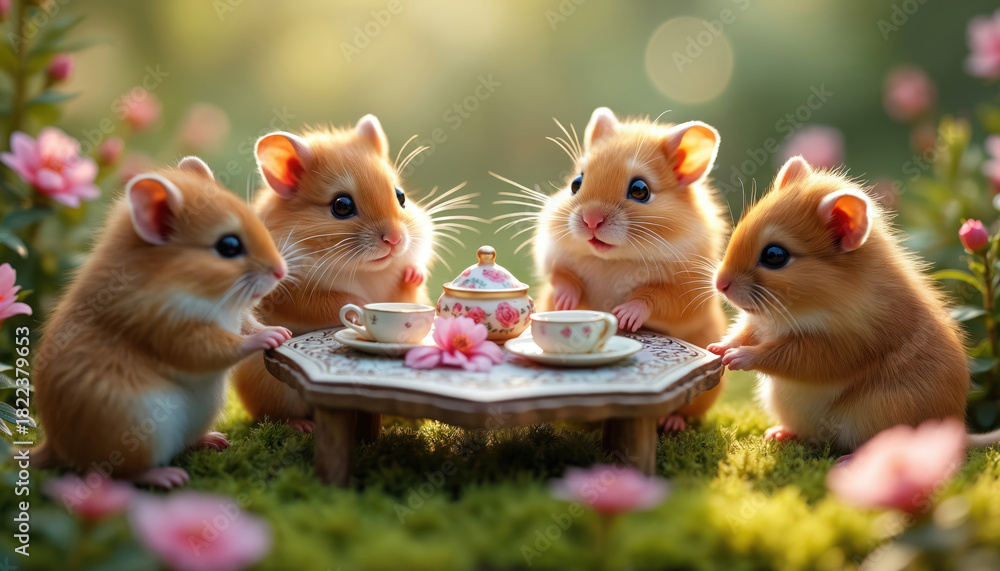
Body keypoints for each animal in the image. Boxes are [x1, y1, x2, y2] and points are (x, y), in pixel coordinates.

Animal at [32, 157, 291, 488]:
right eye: (229, 246)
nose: (281, 271)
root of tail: (55, 447)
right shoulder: (174, 334)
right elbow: (226, 346)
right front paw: (267, 338)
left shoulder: (238, 316)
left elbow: (251, 325)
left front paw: (281, 332)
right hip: (139, 430)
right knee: (114, 473)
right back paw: (165, 476)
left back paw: (211, 441)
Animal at [233, 115, 466, 431]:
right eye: (341, 205)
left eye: (401, 196)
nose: (394, 239)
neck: (362, 269)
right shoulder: (290, 294)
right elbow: (332, 301)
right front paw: (360, 306)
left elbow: (408, 290)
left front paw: (413, 273)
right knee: (274, 415)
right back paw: (303, 425)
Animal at [526, 107, 730, 430]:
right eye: (576, 183)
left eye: (640, 190)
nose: (591, 221)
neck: (614, 259)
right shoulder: (556, 259)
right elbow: (563, 278)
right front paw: (564, 303)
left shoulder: (686, 295)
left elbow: (654, 298)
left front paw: (623, 316)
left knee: (685, 410)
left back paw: (671, 423)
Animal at [707, 156, 999, 452]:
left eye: (775, 255)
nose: (720, 284)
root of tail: (960, 433)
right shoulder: (758, 324)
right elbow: (742, 334)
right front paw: (718, 348)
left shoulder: (840, 348)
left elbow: (785, 356)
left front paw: (739, 357)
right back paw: (781, 434)